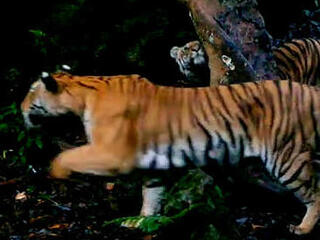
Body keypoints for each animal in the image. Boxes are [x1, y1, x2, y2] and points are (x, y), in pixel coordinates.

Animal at [21, 72, 320, 234]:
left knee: (314, 193)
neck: (82, 94)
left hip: (286, 157)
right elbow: (151, 195)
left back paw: (302, 229)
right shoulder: (152, 165)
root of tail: (309, 90)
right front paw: (141, 221)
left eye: (31, 91)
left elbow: (67, 155)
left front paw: (57, 172)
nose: (20, 106)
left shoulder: (112, 153)